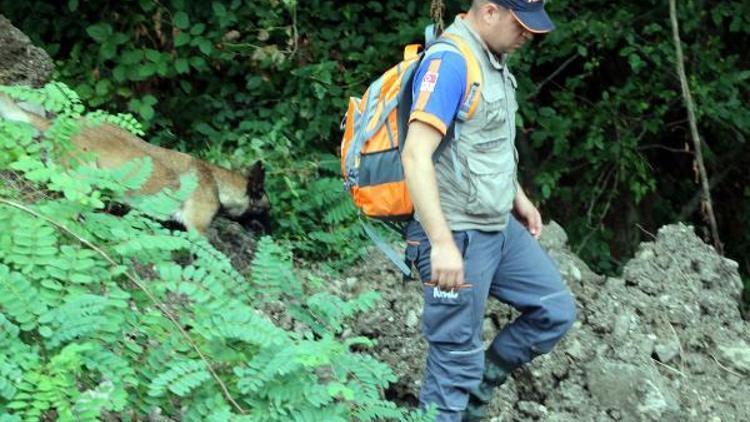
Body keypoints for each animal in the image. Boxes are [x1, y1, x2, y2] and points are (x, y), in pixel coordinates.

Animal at [0, 94, 270, 234]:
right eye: (266, 210)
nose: (271, 230)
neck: (216, 181)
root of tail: (59, 126)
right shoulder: (198, 228)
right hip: (86, 180)